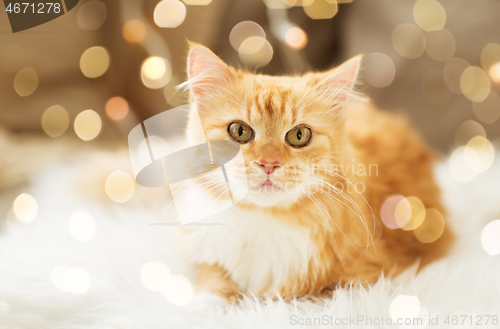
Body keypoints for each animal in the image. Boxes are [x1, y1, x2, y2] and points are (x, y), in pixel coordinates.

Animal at [179, 44, 454, 300]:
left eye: (299, 135)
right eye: (239, 131)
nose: (269, 163)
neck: (266, 220)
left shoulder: (364, 277)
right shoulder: (210, 260)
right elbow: (215, 285)